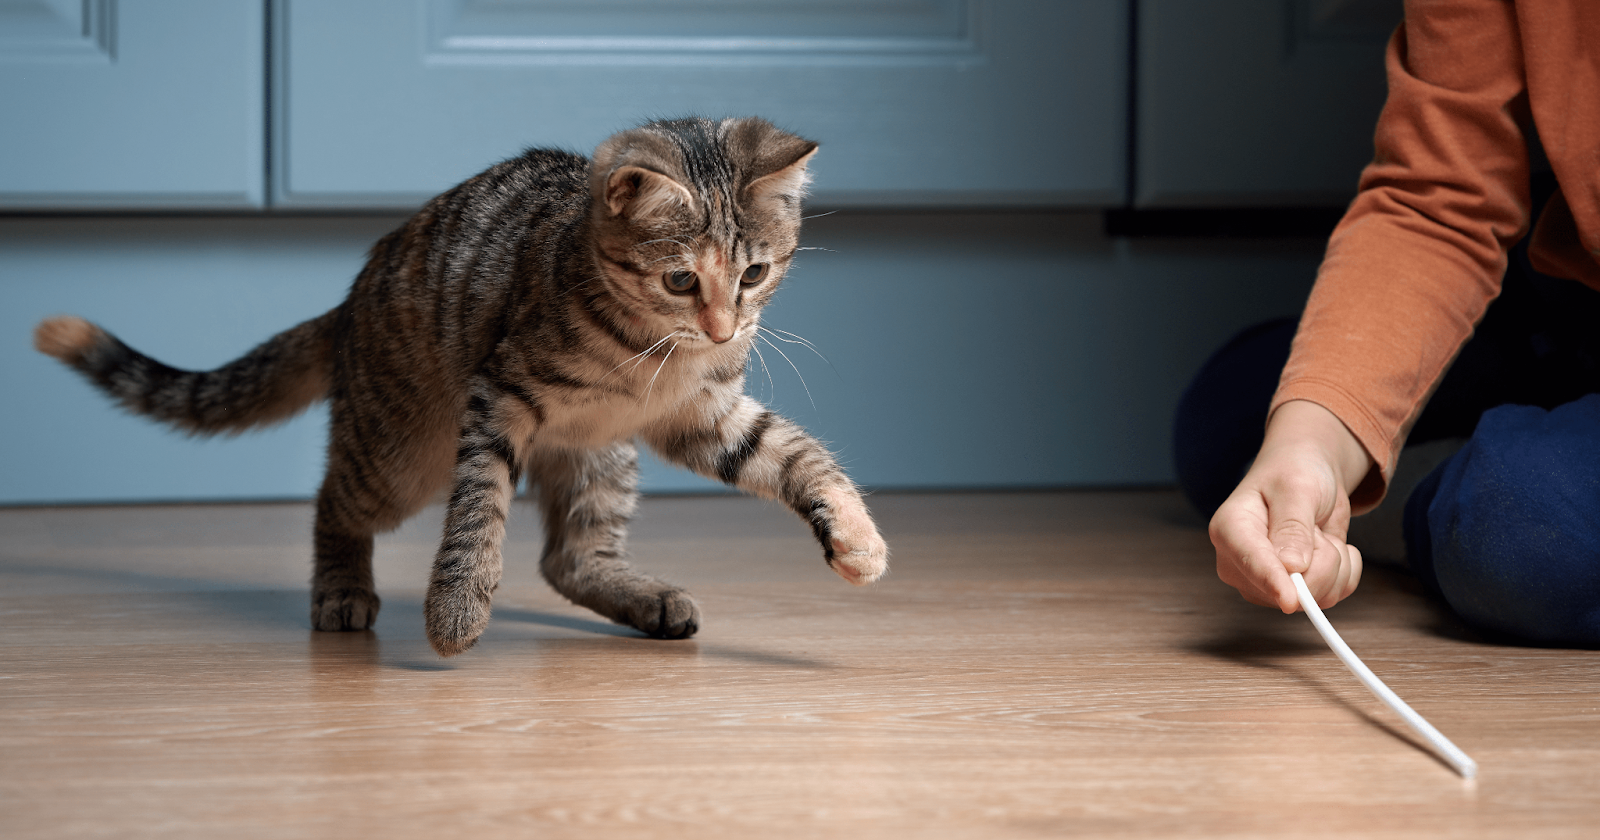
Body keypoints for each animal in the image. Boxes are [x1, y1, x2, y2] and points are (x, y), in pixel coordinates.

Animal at [34, 117, 889, 656]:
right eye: (682, 279)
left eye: (755, 273)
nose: (723, 328)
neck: (655, 353)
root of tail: (348, 305)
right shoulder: (498, 397)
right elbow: (479, 508)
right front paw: (457, 605)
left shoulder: (701, 413)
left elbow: (795, 454)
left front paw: (854, 534)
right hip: (397, 455)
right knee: (333, 501)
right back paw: (340, 588)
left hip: (600, 456)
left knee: (570, 558)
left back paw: (645, 598)